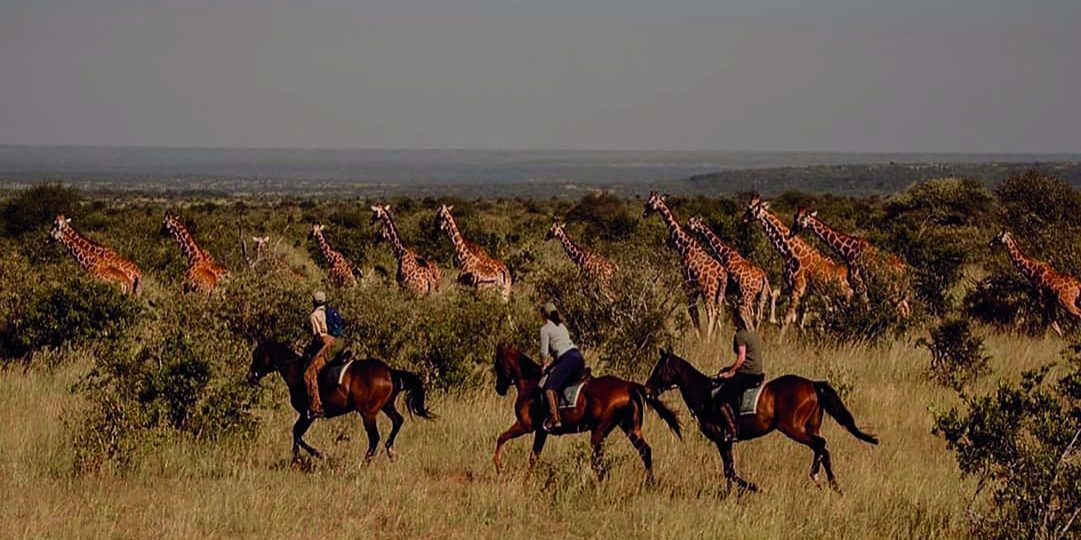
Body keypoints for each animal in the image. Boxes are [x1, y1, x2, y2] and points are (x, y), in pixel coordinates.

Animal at [248, 341, 434, 464]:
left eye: (256, 355)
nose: (249, 376)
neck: (296, 371)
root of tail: (390, 372)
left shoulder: (308, 415)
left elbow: (297, 434)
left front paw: (312, 455)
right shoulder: (306, 415)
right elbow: (297, 434)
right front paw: (301, 457)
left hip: (368, 413)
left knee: (374, 437)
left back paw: (364, 463)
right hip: (386, 406)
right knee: (398, 421)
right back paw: (390, 451)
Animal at [492, 343, 678, 479]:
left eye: (497, 365)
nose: (499, 389)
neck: (530, 383)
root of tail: (628, 385)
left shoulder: (525, 426)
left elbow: (501, 438)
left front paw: (499, 467)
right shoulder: (541, 431)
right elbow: (533, 458)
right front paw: (526, 482)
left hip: (599, 432)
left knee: (599, 464)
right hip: (630, 428)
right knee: (644, 451)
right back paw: (650, 483)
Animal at [639, 192, 726, 339]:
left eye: (650, 203)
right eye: (647, 201)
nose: (644, 214)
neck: (683, 245)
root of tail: (721, 275)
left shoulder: (687, 282)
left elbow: (692, 310)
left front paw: (699, 336)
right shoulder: (693, 287)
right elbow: (694, 311)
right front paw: (699, 334)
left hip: (709, 290)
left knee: (711, 312)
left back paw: (708, 338)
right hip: (720, 292)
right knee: (718, 311)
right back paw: (714, 336)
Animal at [644, 347, 873, 492]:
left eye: (659, 369)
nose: (647, 390)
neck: (704, 394)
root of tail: (813, 384)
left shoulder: (721, 440)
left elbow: (730, 471)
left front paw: (754, 488)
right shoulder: (725, 443)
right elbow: (729, 471)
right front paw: (730, 496)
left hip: (793, 428)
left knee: (820, 445)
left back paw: (815, 476)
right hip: (810, 427)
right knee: (824, 450)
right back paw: (834, 486)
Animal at [743, 198, 851, 332]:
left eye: (752, 209)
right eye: (749, 206)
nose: (744, 218)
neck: (791, 253)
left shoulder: (798, 289)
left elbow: (789, 318)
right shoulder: (792, 285)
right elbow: (776, 293)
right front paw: (773, 319)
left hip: (836, 294)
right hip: (828, 295)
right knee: (831, 309)